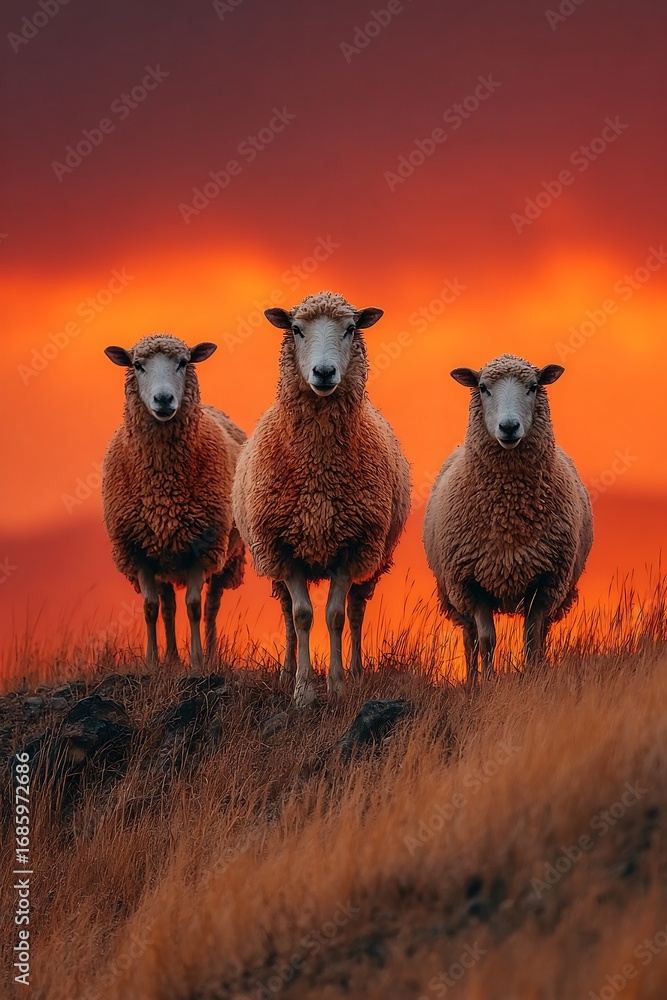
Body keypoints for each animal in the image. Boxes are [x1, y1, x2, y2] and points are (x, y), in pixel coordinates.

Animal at [102, 334, 246, 673]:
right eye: (137, 365)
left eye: (183, 362)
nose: (164, 400)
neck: (163, 489)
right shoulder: (138, 550)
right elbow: (150, 607)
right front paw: (152, 663)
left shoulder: (201, 548)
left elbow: (194, 606)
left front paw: (197, 662)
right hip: (162, 559)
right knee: (167, 606)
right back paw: (170, 658)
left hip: (226, 556)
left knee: (211, 606)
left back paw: (211, 655)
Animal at [232, 291, 411, 707]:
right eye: (297, 329)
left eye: (350, 328)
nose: (325, 373)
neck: (318, 470)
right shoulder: (283, 548)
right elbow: (301, 616)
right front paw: (303, 691)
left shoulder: (351, 545)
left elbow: (335, 616)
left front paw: (338, 685)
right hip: (273, 561)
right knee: (285, 613)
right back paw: (285, 673)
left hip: (374, 556)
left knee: (357, 609)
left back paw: (357, 672)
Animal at [423, 353, 593, 684]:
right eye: (483, 387)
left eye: (534, 386)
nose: (509, 426)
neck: (508, 513)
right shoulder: (470, 582)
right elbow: (487, 639)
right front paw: (488, 682)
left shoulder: (546, 582)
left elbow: (531, 637)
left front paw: (534, 677)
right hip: (454, 594)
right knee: (470, 638)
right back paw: (471, 682)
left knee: (543, 633)